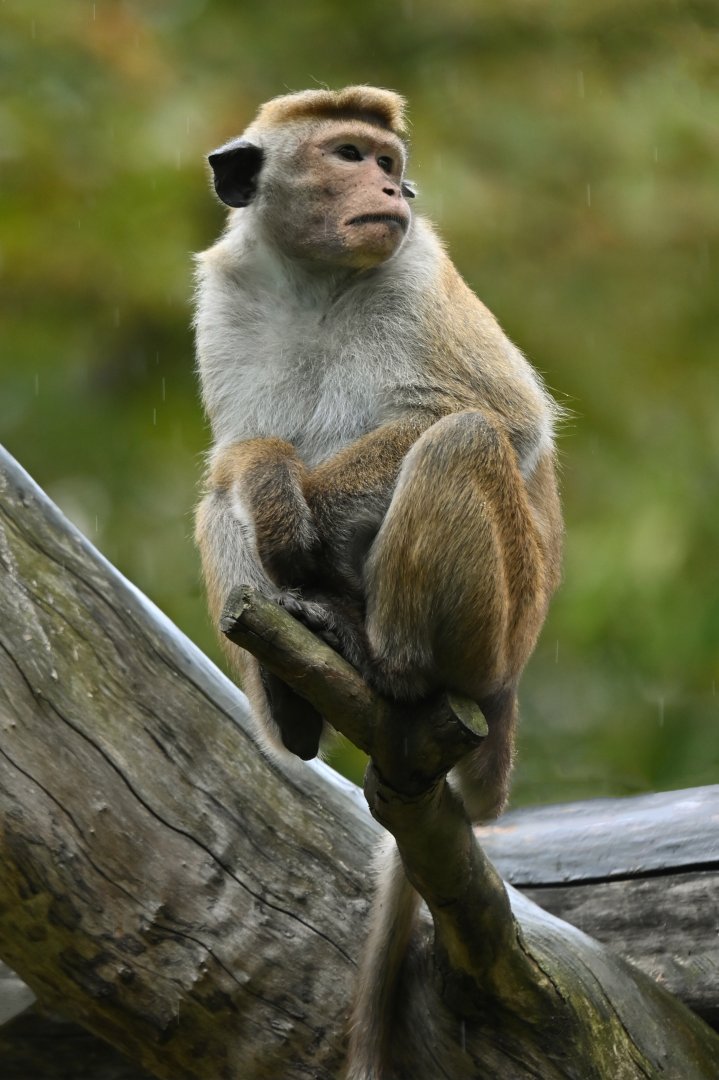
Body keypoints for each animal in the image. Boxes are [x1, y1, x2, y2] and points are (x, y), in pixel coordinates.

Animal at [193, 86, 562, 1079]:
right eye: (349, 154)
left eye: (387, 160)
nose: (395, 187)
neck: (317, 280)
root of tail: (510, 686)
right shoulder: (226, 295)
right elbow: (233, 455)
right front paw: (264, 486)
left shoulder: (415, 266)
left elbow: (502, 414)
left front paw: (291, 498)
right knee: (216, 503)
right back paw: (295, 697)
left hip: (501, 625)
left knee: (460, 437)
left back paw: (387, 662)